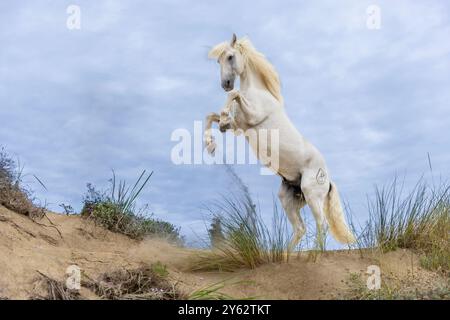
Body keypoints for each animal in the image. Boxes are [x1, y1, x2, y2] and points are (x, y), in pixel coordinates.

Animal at [204, 34, 356, 250]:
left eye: (230, 57)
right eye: (218, 60)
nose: (225, 83)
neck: (257, 92)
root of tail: (328, 180)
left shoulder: (252, 116)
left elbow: (234, 96)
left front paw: (223, 117)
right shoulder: (239, 126)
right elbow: (210, 116)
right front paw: (210, 143)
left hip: (312, 195)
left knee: (322, 224)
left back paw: (314, 253)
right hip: (289, 199)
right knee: (300, 228)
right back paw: (287, 254)